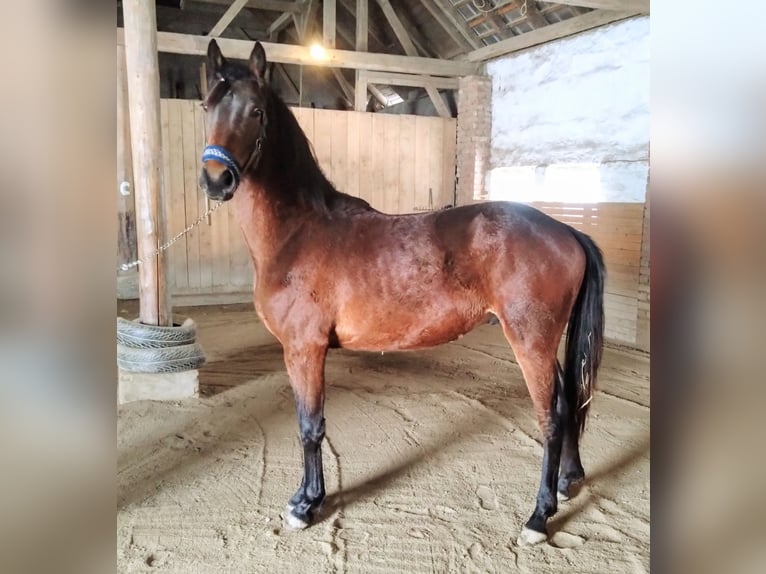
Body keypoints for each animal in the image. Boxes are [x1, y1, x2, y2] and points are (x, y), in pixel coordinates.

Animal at [201, 41, 608, 548]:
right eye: (206, 106)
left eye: (256, 111)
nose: (216, 179)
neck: (299, 231)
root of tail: (566, 230)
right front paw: (307, 498)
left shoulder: (304, 349)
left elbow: (309, 426)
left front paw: (306, 504)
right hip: (544, 341)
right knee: (569, 402)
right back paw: (569, 482)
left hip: (530, 341)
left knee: (550, 416)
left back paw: (538, 517)